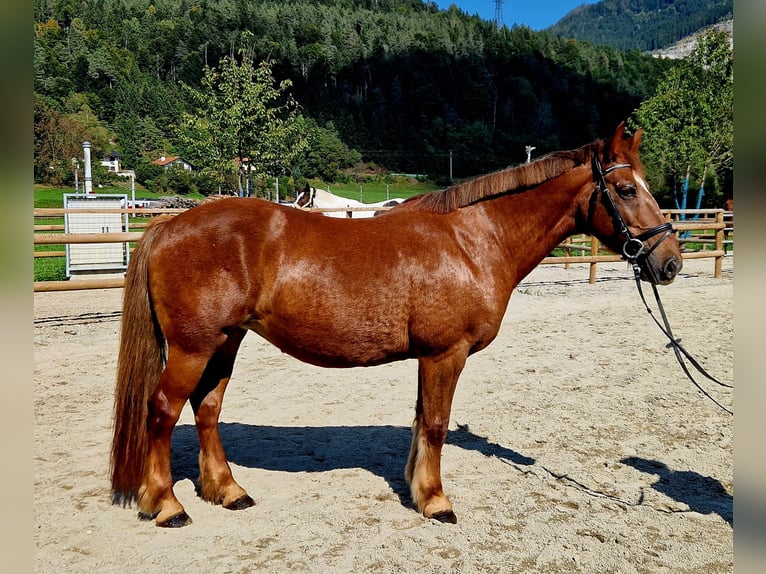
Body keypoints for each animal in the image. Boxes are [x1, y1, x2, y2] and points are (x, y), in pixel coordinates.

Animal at [109, 124, 684, 528]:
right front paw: (437, 502)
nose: (670, 262)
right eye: (626, 190)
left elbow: (421, 421)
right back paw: (166, 505)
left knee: (206, 409)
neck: (472, 241)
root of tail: (169, 225)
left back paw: (228, 491)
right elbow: (435, 424)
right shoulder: (445, 354)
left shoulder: (430, 358)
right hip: (192, 347)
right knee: (162, 412)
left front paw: (417, 489)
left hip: (223, 343)